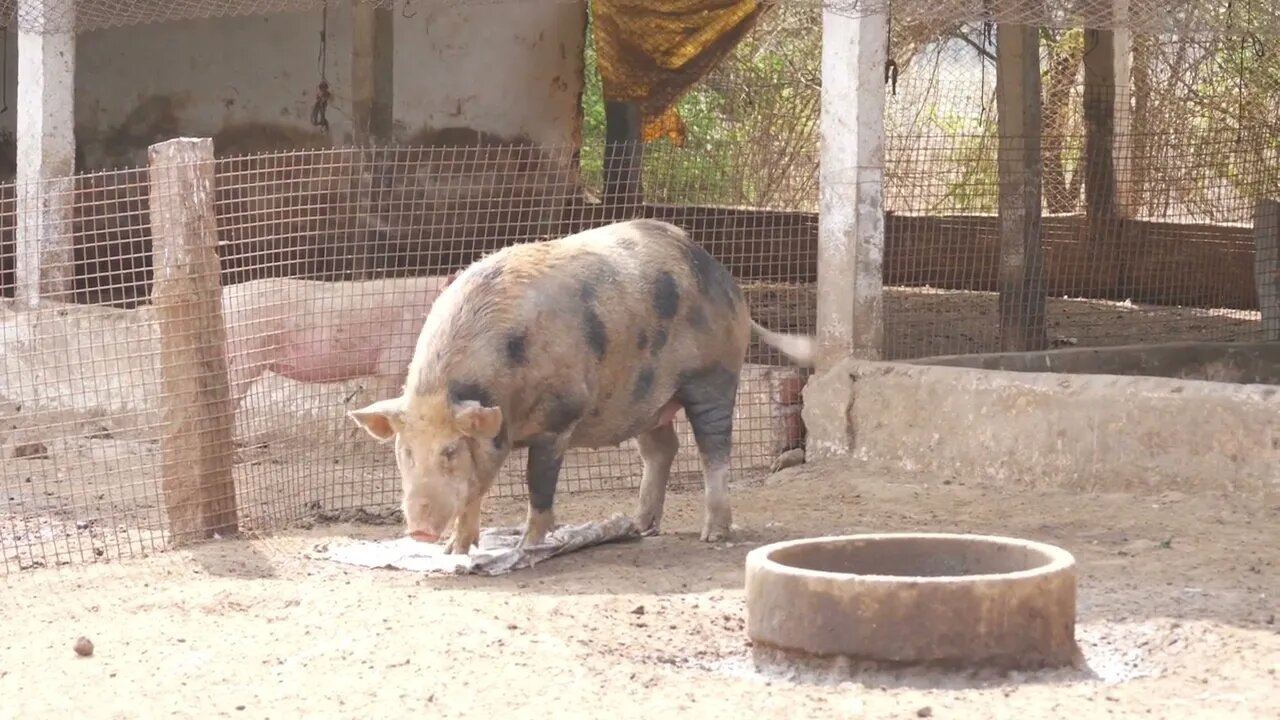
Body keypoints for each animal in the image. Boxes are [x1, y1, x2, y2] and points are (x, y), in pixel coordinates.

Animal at [345, 215, 814, 550]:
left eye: (450, 451)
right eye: (405, 452)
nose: (420, 531)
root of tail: (725, 277)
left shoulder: (559, 418)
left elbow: (538, 485)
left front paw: (525, 546)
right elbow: (474, 494)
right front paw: (455, 552)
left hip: (712, 377)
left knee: (713, 450)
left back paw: (712, 534)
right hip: (644, 398)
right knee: (663, 449)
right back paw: (640, 527)